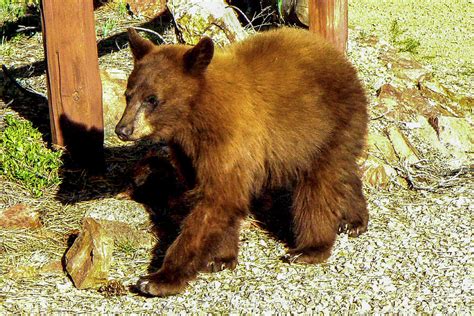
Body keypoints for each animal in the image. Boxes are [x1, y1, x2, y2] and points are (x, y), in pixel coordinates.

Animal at [115, 27, 370, 296]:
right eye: (128, 95)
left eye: (152, 99)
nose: (122, 129)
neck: (195, 117)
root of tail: (340, 59)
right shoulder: (188, 152)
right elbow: (213, 196)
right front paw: (220, 259)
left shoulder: (230, 138)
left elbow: (218, 198)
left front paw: (158, 279)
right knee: (343, 173)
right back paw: (355, 221)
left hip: (327, 127)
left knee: (319, 186)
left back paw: (309, 249)